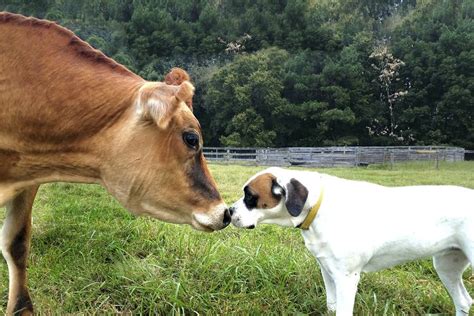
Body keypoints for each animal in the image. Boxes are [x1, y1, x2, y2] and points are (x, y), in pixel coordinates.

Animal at [231, 167, 474, 314]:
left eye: (250, 196)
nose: (229, 211)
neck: (318, 206)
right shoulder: (328, 271)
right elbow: (331, 305)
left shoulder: (346, 278)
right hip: (446, 266)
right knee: (463, 301)